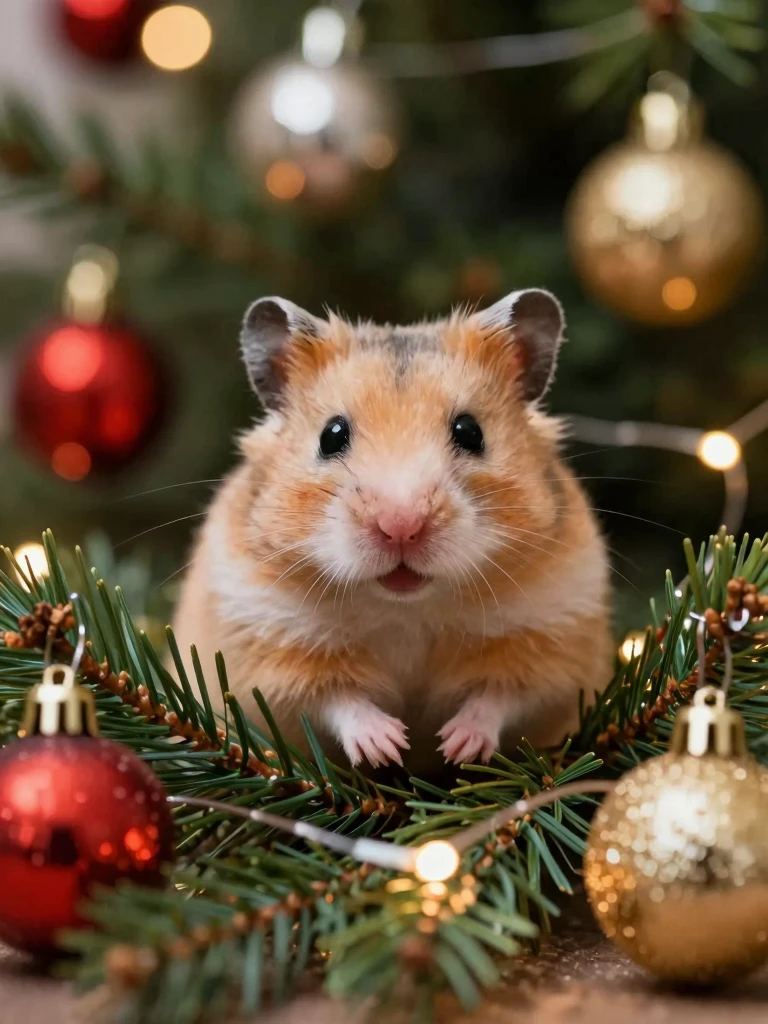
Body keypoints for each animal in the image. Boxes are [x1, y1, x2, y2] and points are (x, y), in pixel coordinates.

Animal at [172, 289, 612, 772]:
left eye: (470, 432)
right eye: (331, 435)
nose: (401, 527)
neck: (406, 609)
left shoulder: (549, 641)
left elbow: (498, 696)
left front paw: (456, 746)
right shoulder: (270, 645)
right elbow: (336, 698)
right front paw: (388, 745)